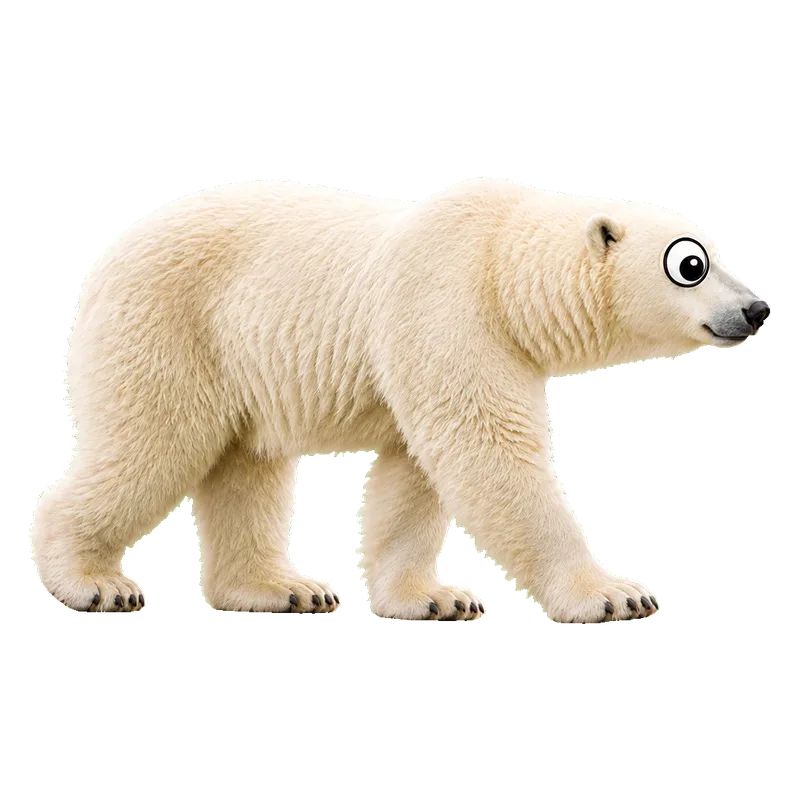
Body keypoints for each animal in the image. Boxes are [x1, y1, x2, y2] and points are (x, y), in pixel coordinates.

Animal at [31, 177, 770, 622]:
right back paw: (96, 583)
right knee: (151, 443)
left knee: (245, 465)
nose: (757, 308)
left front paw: (434, 599)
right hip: (169, 325)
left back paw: (282, 588)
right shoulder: (447, 304)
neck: (499, 260)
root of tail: (105, 258)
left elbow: (414, 477)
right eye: (690, 264)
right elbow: (489, 455)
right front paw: (616, 595)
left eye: (717, 249)